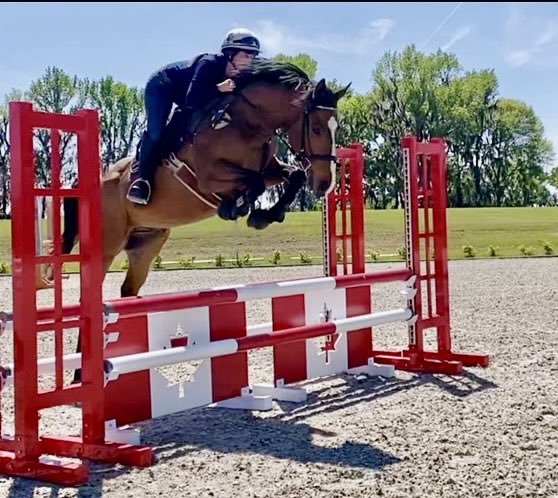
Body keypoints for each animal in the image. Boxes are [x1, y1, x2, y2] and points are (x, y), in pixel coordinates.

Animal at [60, 59, 350, 300]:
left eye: (337, 128)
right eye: (316, 128)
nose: (325, 184)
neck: (245, 122)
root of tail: (93, 183)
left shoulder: (269, 170)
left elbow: (293, 176)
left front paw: (264, 216)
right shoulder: (209, 176)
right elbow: (254, 182)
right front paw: (238, 208)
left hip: (145, 244)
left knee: (129, 289)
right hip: (107, 247)